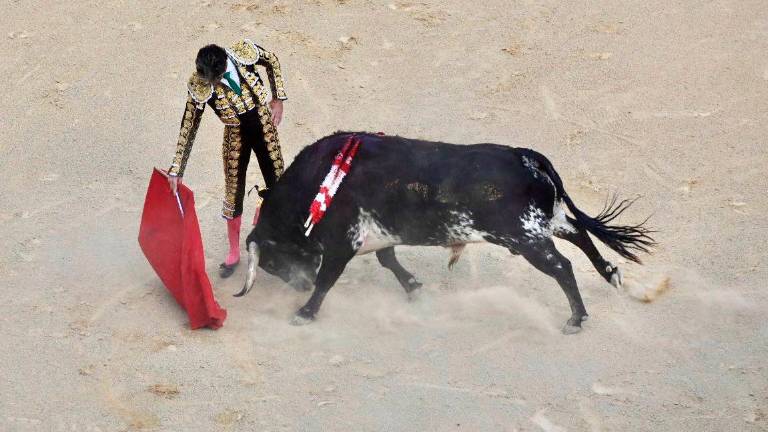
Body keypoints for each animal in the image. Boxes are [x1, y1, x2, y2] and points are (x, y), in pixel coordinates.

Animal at [236, 132, 656, 334]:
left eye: (272, 262)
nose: (299, 285)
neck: (316, 184)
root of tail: (525, 156)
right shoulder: (380, 236)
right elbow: (388, 260)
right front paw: (414, 288)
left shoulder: (343, 243)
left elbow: (329, 280)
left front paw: (305, 313)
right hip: (544, 223)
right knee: (580, 235)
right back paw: (611, 275)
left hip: (526, 237)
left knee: (562, 266)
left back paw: (577, 318)